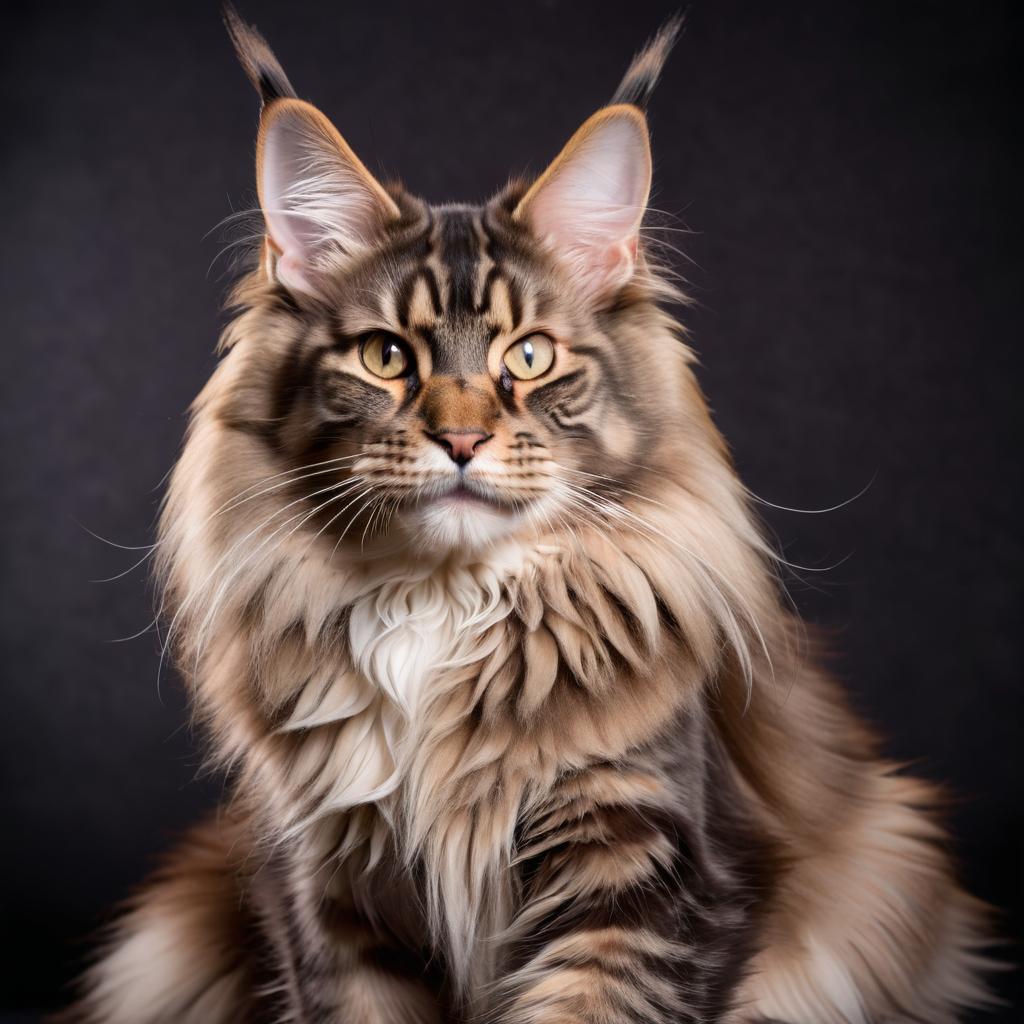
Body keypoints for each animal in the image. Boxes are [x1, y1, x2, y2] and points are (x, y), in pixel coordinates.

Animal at [64, 8, 991, 1024]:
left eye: (532, 356)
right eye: (387, 357)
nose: (463, 439)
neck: (439, 607)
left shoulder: (646, 878)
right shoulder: (324, 891)